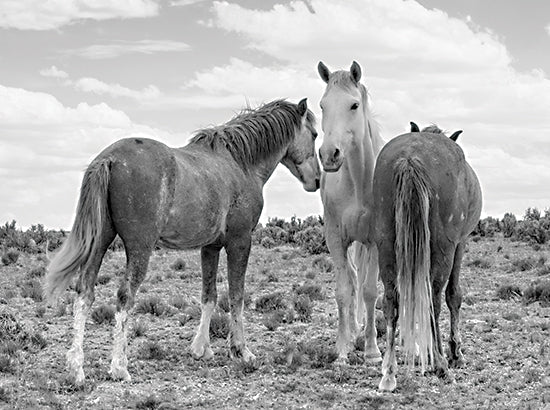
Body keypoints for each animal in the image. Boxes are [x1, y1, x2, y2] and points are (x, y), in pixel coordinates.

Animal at [45, 98, 322, 384]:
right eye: (314, 134)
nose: (317, 180)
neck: (241, 164)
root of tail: (108, 159)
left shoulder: (211, 247)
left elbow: (209, 296)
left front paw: (201, 348)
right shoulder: (240, 241)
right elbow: (237, 296)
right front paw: (241, 351)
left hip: (100, 242)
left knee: (85, 293)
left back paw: (76, 369)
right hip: (139, 248)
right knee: (124, 296)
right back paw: (119, 367)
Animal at [370, 125, 484, 390]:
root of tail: (410, 158)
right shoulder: (460, 244)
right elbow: (454, 295)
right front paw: (456, 353)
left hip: (386, 244)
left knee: (391, 301)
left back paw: (389, 372)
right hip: (444, 247)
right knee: (434, 300)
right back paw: (441, 364)